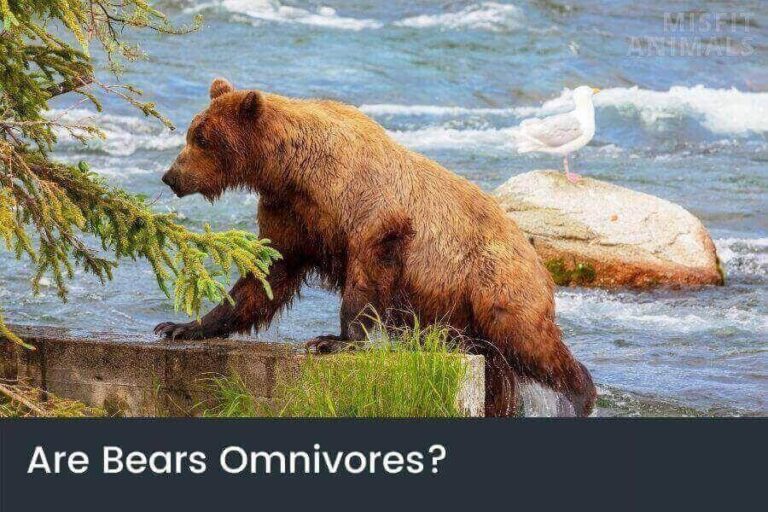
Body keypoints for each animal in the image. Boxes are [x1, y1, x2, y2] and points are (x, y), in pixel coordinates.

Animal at [155, 78, 597, 417]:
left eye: (202, 138)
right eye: (191, 133)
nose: (170, 175)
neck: (293, 171)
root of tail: (537, 257)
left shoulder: (371, 213)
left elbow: (364, 277)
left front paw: (333, 340)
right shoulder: (291, 216)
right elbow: (263, 279)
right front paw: (182, 326)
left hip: (493, 282)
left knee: (529, 340)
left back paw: (581, 395)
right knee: (495, 369)